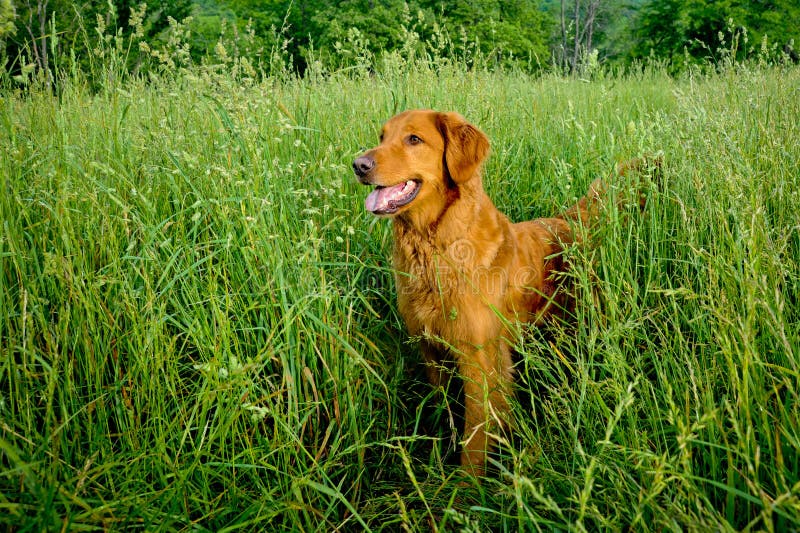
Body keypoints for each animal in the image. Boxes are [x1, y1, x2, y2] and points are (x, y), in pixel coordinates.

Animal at [356, 108, 656, 474]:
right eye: (382, 136)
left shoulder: (480, 359)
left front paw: (467, 484)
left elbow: (475, 435)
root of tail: (571, 220)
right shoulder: (431, 352)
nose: (358, 165)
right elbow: (446, 413)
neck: (435, 248)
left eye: (414, 139)